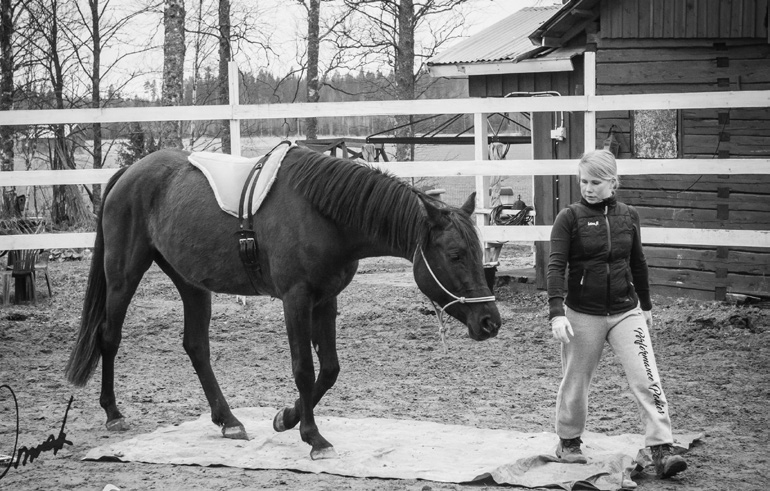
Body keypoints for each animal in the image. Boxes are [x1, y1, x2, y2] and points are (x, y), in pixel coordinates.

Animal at [63, 144, 500, 460]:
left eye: (478, 252)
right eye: (456, 254)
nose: (490, 321)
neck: (324, 214)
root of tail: (127, 174)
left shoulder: (326, 300)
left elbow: (330, 370)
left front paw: (286, 418)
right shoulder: (296, 300)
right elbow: (304, 369)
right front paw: (313, 437)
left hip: (191, 283)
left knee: (196, 347)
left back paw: (228, 420)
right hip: (124, 274)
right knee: (109, 337)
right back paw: (114, 413)